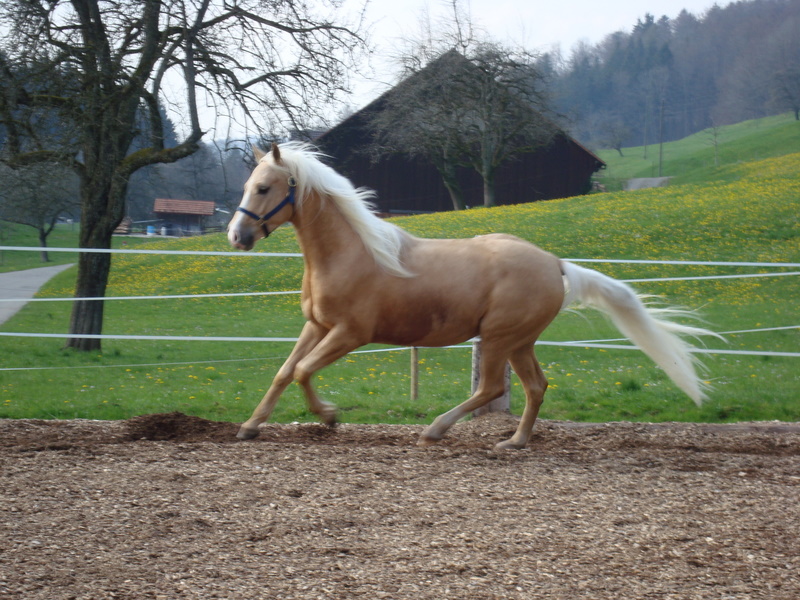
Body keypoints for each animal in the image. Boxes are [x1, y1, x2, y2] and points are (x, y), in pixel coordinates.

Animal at [227, 142, 716, 450]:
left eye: (265, 187)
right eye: (247, 185)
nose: (238, 236)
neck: (350, 253)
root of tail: (555, 264)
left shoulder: (350, 333)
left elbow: (303, 371)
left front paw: (329, 417)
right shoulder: (317, 326)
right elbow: (285, 372)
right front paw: (250, 427)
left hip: (499, 337)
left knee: (492, 387)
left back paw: (436, 430)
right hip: (519, 341)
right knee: (535, 386)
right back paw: (514, 441)